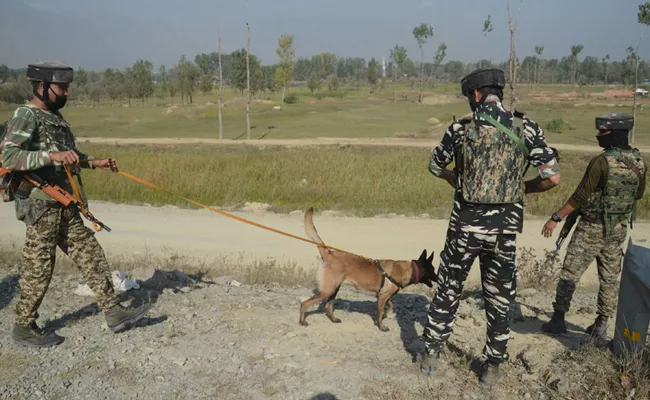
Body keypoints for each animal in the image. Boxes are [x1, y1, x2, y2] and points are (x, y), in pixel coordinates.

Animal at [298, 208, 436, 330]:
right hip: (327, 291)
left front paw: (387, 313)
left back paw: (333, 319)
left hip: (333, 290)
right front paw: (382, 327)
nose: (438, 277)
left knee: (327, 307)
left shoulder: (384, 297)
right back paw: (302, 321)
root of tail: (329, 253)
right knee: (305, 304)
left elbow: (390, 305)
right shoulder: (382, 297)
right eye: (433, 270)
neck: (409, 269)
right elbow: (379, 314)